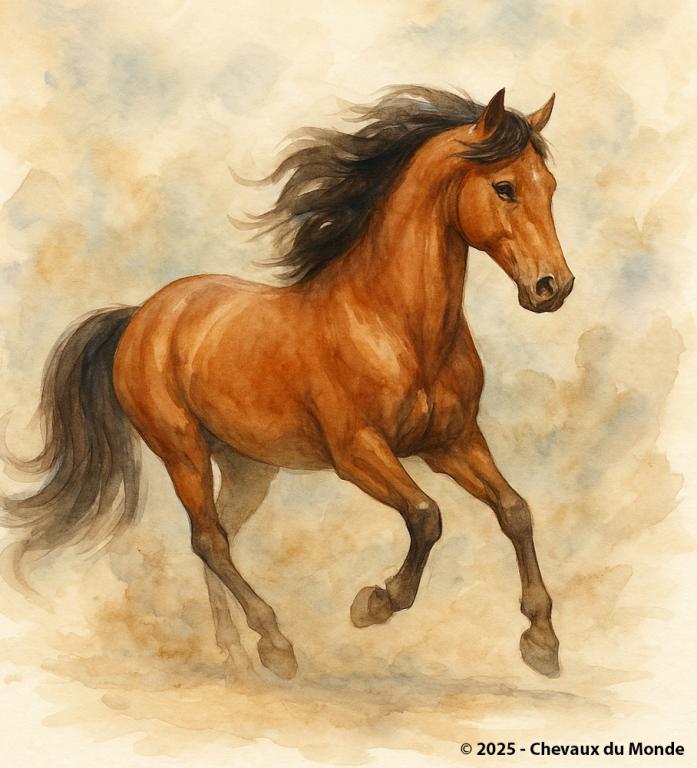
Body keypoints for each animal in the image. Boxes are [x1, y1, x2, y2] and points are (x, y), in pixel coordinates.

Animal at [3, 86, 574, 681]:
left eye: (550, 186)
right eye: (505, 187)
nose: (553, 287)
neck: (395, 324)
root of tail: (142, 315)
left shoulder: (452, 442)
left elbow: (515, 511)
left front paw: (542, 642)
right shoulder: (357, 452)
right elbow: (426, 516)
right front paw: (375, 603)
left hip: (247, 466)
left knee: (217, 538)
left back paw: (235, 654)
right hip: (181, 449)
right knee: (209, 539)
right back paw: (274, 644)